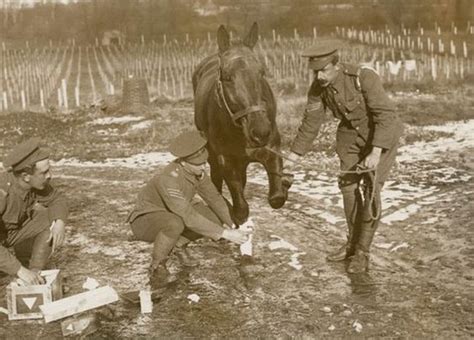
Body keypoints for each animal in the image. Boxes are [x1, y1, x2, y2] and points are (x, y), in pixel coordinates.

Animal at [193, 23, 292, 226]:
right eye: (227, 76)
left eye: (261, 72)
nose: (260, 132)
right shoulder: (226, 159)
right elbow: (240, 209)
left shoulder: (272, 149)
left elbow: (276, 198)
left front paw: (285, 183)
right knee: (216, 179)